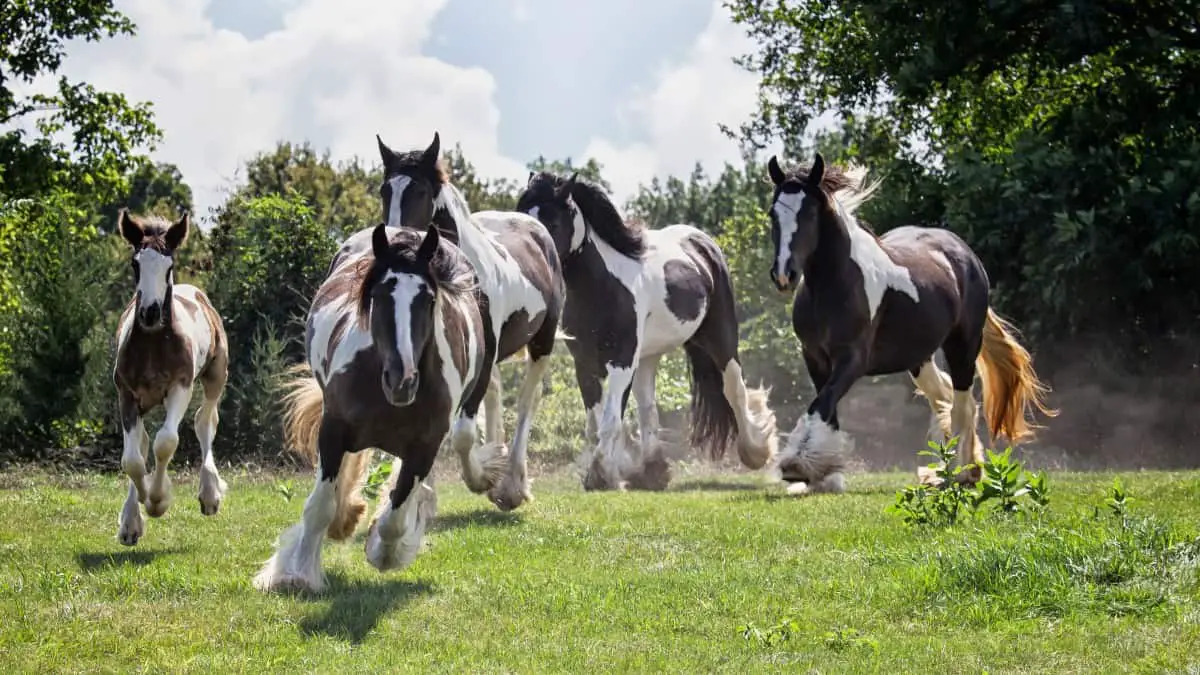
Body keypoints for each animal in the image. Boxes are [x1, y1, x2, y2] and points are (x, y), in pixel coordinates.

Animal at [254, 224, 487, 588]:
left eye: (428, 299)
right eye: (378, 295)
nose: (402, 380)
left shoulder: (425, 447)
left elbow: (396, 515)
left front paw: (384, 552)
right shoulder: (333, 430)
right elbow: (319, 505)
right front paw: (296, 574)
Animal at [357, 130, 564, 509]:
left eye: (420, 191)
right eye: (384, 189)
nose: (393, 242)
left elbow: (464, 433)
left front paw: (483, 479)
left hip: (542, 342)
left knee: (527, 401)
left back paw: (511, 485)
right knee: (497, 394)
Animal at [513, 170, 777, 492]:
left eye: (551, 221)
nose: (532, 257)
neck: (602, 287)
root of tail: (702, 243)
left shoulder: (622, 361)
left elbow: (610, 421)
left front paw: (601, 475)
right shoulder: (584, 363)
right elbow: (596, 424)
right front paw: (612, 471)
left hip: (721, 338)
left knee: (734, 389)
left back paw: (755, 453)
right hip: (648, 356)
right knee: (648, 407)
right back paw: (653, 471)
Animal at [763, 151, 1056, 487]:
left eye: (810, 213)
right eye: (773, 214)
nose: (783, 275)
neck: (835, 284)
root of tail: (965, 254)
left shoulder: (853, 359)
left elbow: (821, 403)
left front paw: (797, 465)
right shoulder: (814, 357)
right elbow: (827, 407)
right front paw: (824, 474)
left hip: (963, 345)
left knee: (963, 403)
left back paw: (963, 472)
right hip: (919, 357)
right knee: (944, 398)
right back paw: (951, 467)